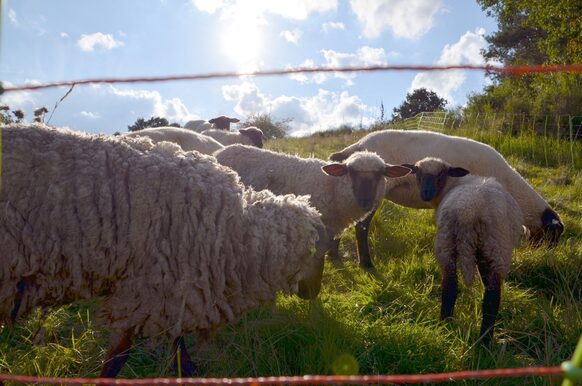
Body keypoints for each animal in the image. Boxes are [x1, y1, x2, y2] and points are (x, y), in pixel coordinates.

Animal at [0, 123, 330, 376]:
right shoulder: (152, 289)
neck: (236, 227)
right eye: (317, 252)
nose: (313, 293)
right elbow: (119, 358)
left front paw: (188, 371)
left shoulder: (170, 290)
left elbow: (175, 346)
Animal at [334, 128, 564, 270]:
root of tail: (358, 146)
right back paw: (366, 264)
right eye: (553, 237)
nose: (545, 259)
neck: (509, 184)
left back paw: (336, 259)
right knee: (361, 226)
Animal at [404, 158, 528, 344]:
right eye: (417, 173)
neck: (453, 184)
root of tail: (469, 213)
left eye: (441, 174)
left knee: (451, 287)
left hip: (448, 242)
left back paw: (447, 326)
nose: (426, 194)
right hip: (495, 248)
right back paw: (484, 340)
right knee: (490, 298)